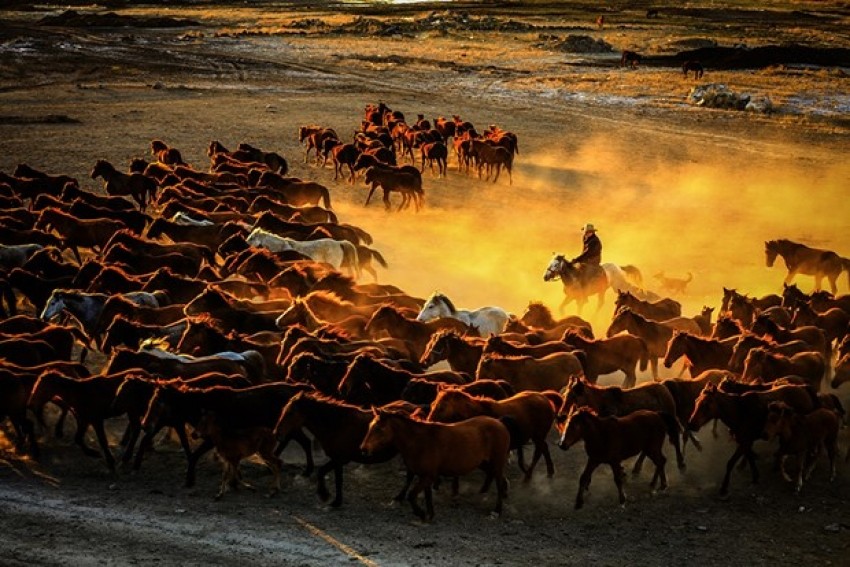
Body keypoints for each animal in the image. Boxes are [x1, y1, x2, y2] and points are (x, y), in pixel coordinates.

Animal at [356, 408, 506, 524]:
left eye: (378, 429)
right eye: (370, 426)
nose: (363, 449)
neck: (419, 441)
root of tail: (499, 423)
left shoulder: (428, 476)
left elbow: (411, 495)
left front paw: (421, 513)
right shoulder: (425, 476)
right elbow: (427, 496)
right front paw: (429, 514)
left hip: (497, 464)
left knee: (500, 484)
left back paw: (496, 511)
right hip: (484, 463)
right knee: (496, 478)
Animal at [428, 390, 560, 484]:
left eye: (441, 407)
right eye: (432, 404)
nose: (429, 421)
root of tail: (543, 397)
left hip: (538, 435)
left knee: (539, 452)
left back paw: (528, 476)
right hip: (539, 436)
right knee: (544, 448)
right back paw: (550, 471)